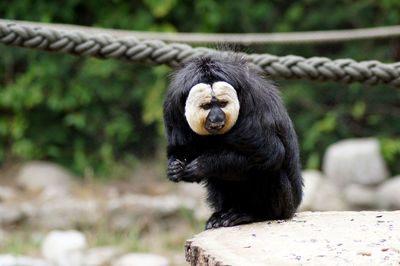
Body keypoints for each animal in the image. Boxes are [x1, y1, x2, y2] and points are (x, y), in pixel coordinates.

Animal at [162, 55, 304, 230]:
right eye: (207, 106)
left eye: (222, 104)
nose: (216, 117)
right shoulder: (172, 107)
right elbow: (180, 148)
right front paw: (174, 168)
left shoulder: (253, 101)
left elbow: (269, 152)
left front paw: (202, 166)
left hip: (287, 205)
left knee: (272, 169)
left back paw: (254, 214)